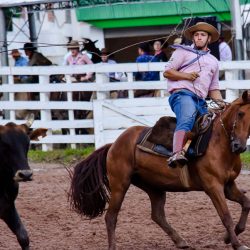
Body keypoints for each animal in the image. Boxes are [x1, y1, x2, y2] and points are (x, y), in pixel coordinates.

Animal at [69, 91, 250, 250]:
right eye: (241, 114)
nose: (239, 146)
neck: (218, 143)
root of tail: (113, 144)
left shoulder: (228, 185)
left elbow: (246, 204)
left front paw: (229, 237)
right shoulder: (213, 186)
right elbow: (226, 216)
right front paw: (237, 243)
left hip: (154, 186)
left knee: (157, 215)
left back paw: (180, 241)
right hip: (120, 184)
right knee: (111, 217)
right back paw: (113, 246)